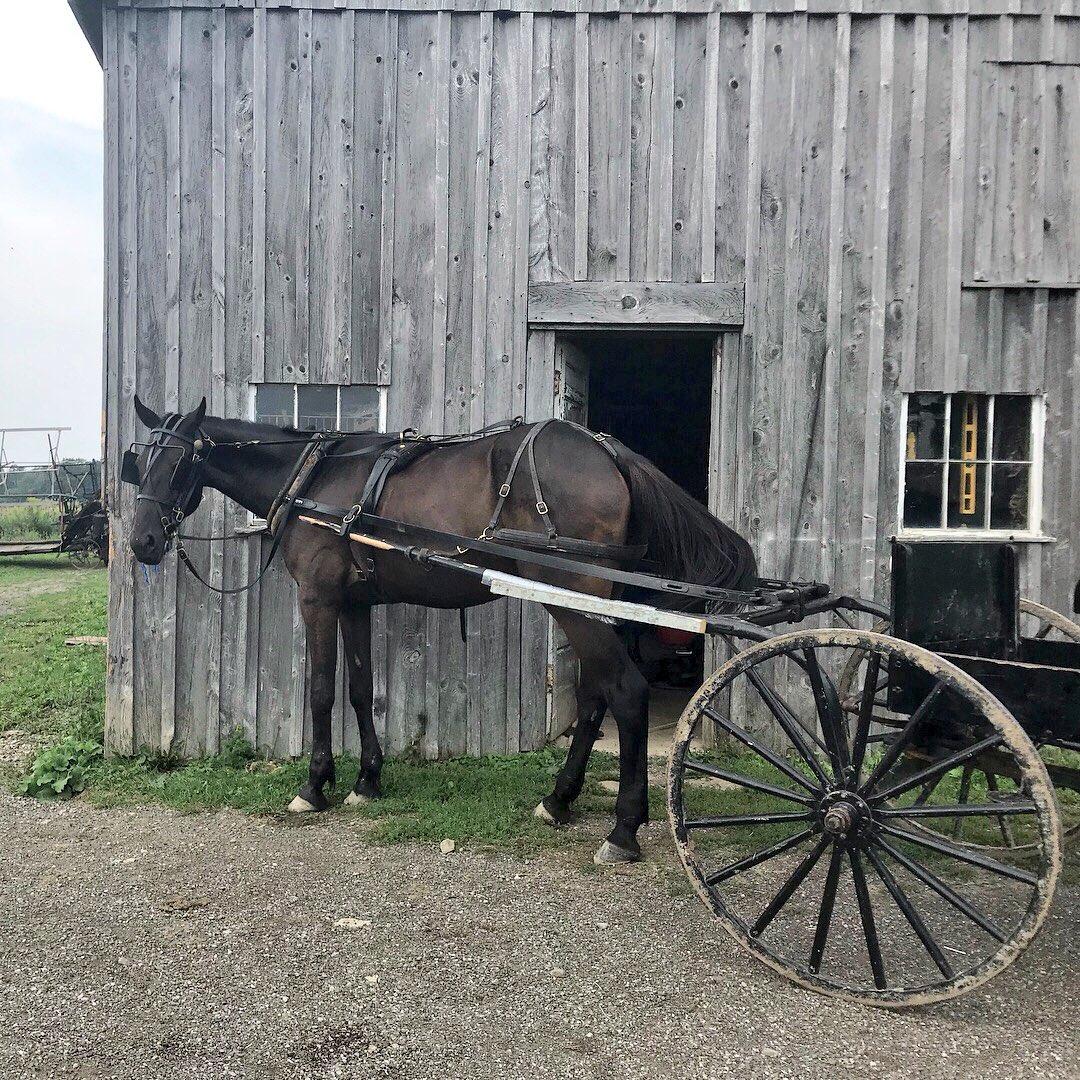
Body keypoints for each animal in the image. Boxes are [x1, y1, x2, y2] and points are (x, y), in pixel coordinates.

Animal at [125, 397, 756, 864]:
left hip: (573, 601)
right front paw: (367, 780)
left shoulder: (319, 600)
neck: (314, 479)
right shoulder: (355, 604)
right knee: (594, 696)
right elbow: (360, 689)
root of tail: (606, 449)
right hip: (586, 603)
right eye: (140, 462)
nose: (143, 542)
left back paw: (623, 830)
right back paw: (559, 799)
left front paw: (315, 786)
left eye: (177, 463)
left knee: (625, 692)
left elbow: (322, 690)